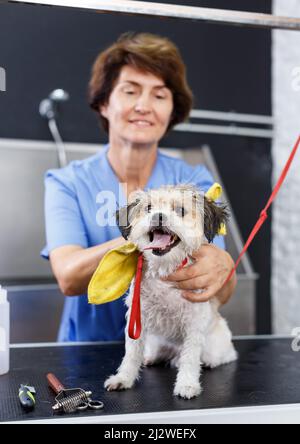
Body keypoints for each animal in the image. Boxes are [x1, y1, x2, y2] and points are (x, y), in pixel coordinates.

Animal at [104, 184, 238, 398]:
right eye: (149, 208)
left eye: (181, 210)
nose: (158, 216)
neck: (164, 271)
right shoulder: (137, 320)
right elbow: (131, 353)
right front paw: (123, 378)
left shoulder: (193, 324)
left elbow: (190, 358)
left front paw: (187, 384)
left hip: (216, 346)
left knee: (225, 356)